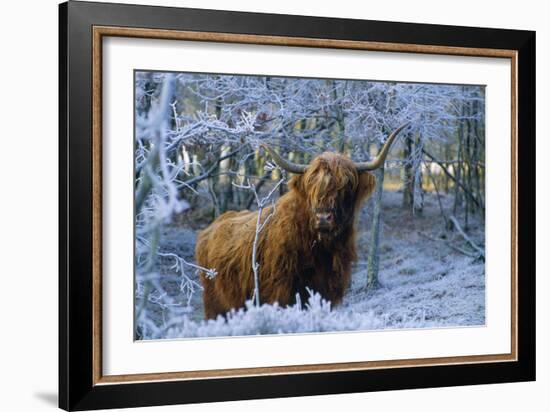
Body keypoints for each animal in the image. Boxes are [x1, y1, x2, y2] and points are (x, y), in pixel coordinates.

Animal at [197, 122, 410, 318]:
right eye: (311, 186)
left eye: (347, 186)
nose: (323, 218)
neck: (320, 249)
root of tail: (210, 228)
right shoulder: (280, 292)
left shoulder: (327, 292)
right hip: (216, 306)